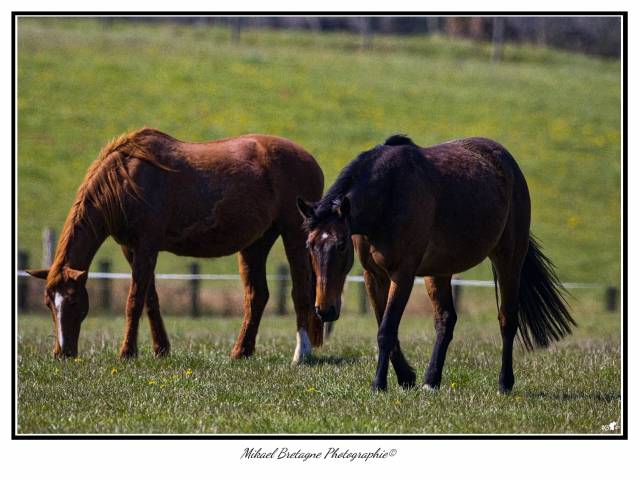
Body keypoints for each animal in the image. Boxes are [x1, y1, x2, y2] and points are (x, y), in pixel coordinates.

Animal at [26, 127, 322, 364]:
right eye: (48, 303)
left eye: (74, 301)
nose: (62, 353)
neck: (126, 180)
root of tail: (310, 159)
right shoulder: (131, 250)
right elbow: (150, 299)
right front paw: (161, 349)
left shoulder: (146, 246)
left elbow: (134, 300)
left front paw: (127, 352)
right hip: (256, 243)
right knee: (256, 296)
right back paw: (241, 352)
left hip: (294, 235)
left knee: (300, 293)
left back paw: (301, 354)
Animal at [298, 133, 576, 392]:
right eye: (309, 245)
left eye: (341, 245)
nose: (324, 310)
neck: (388, 196)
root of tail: (508, 164)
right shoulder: (373, 275)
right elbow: (385, 325)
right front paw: (406, 377)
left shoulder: (403, 274)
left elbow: (386, 330)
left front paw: (379, 384)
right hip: (439, 272)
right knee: (446, 320)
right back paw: (431, 380)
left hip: (508, 259)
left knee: (507, 319)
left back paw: (504, 383)